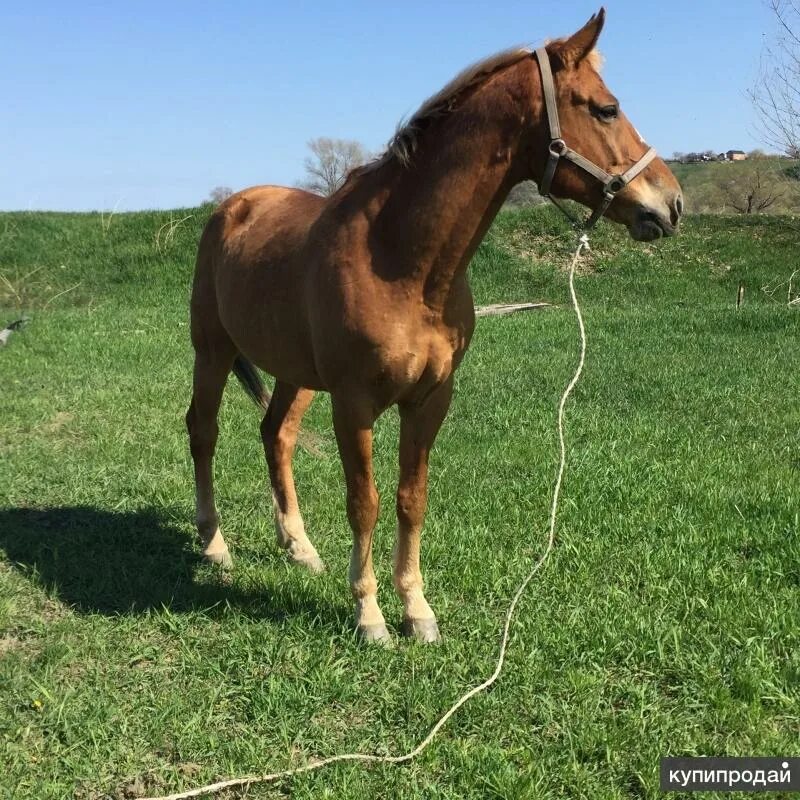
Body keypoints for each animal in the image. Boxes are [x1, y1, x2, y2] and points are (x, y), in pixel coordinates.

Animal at [186, 7, 680, 644]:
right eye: (606, 108)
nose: (671, 205)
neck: (400, 260)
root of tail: (232, 207)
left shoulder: (431, 398)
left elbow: (410, 499)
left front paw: (417, 610)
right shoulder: (354, 402)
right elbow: (365, 502)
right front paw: (369, 615)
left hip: (295, 373)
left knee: (277, 434)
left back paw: (299, 548)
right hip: (213, 350)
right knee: (203, 431)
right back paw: (215, 545)